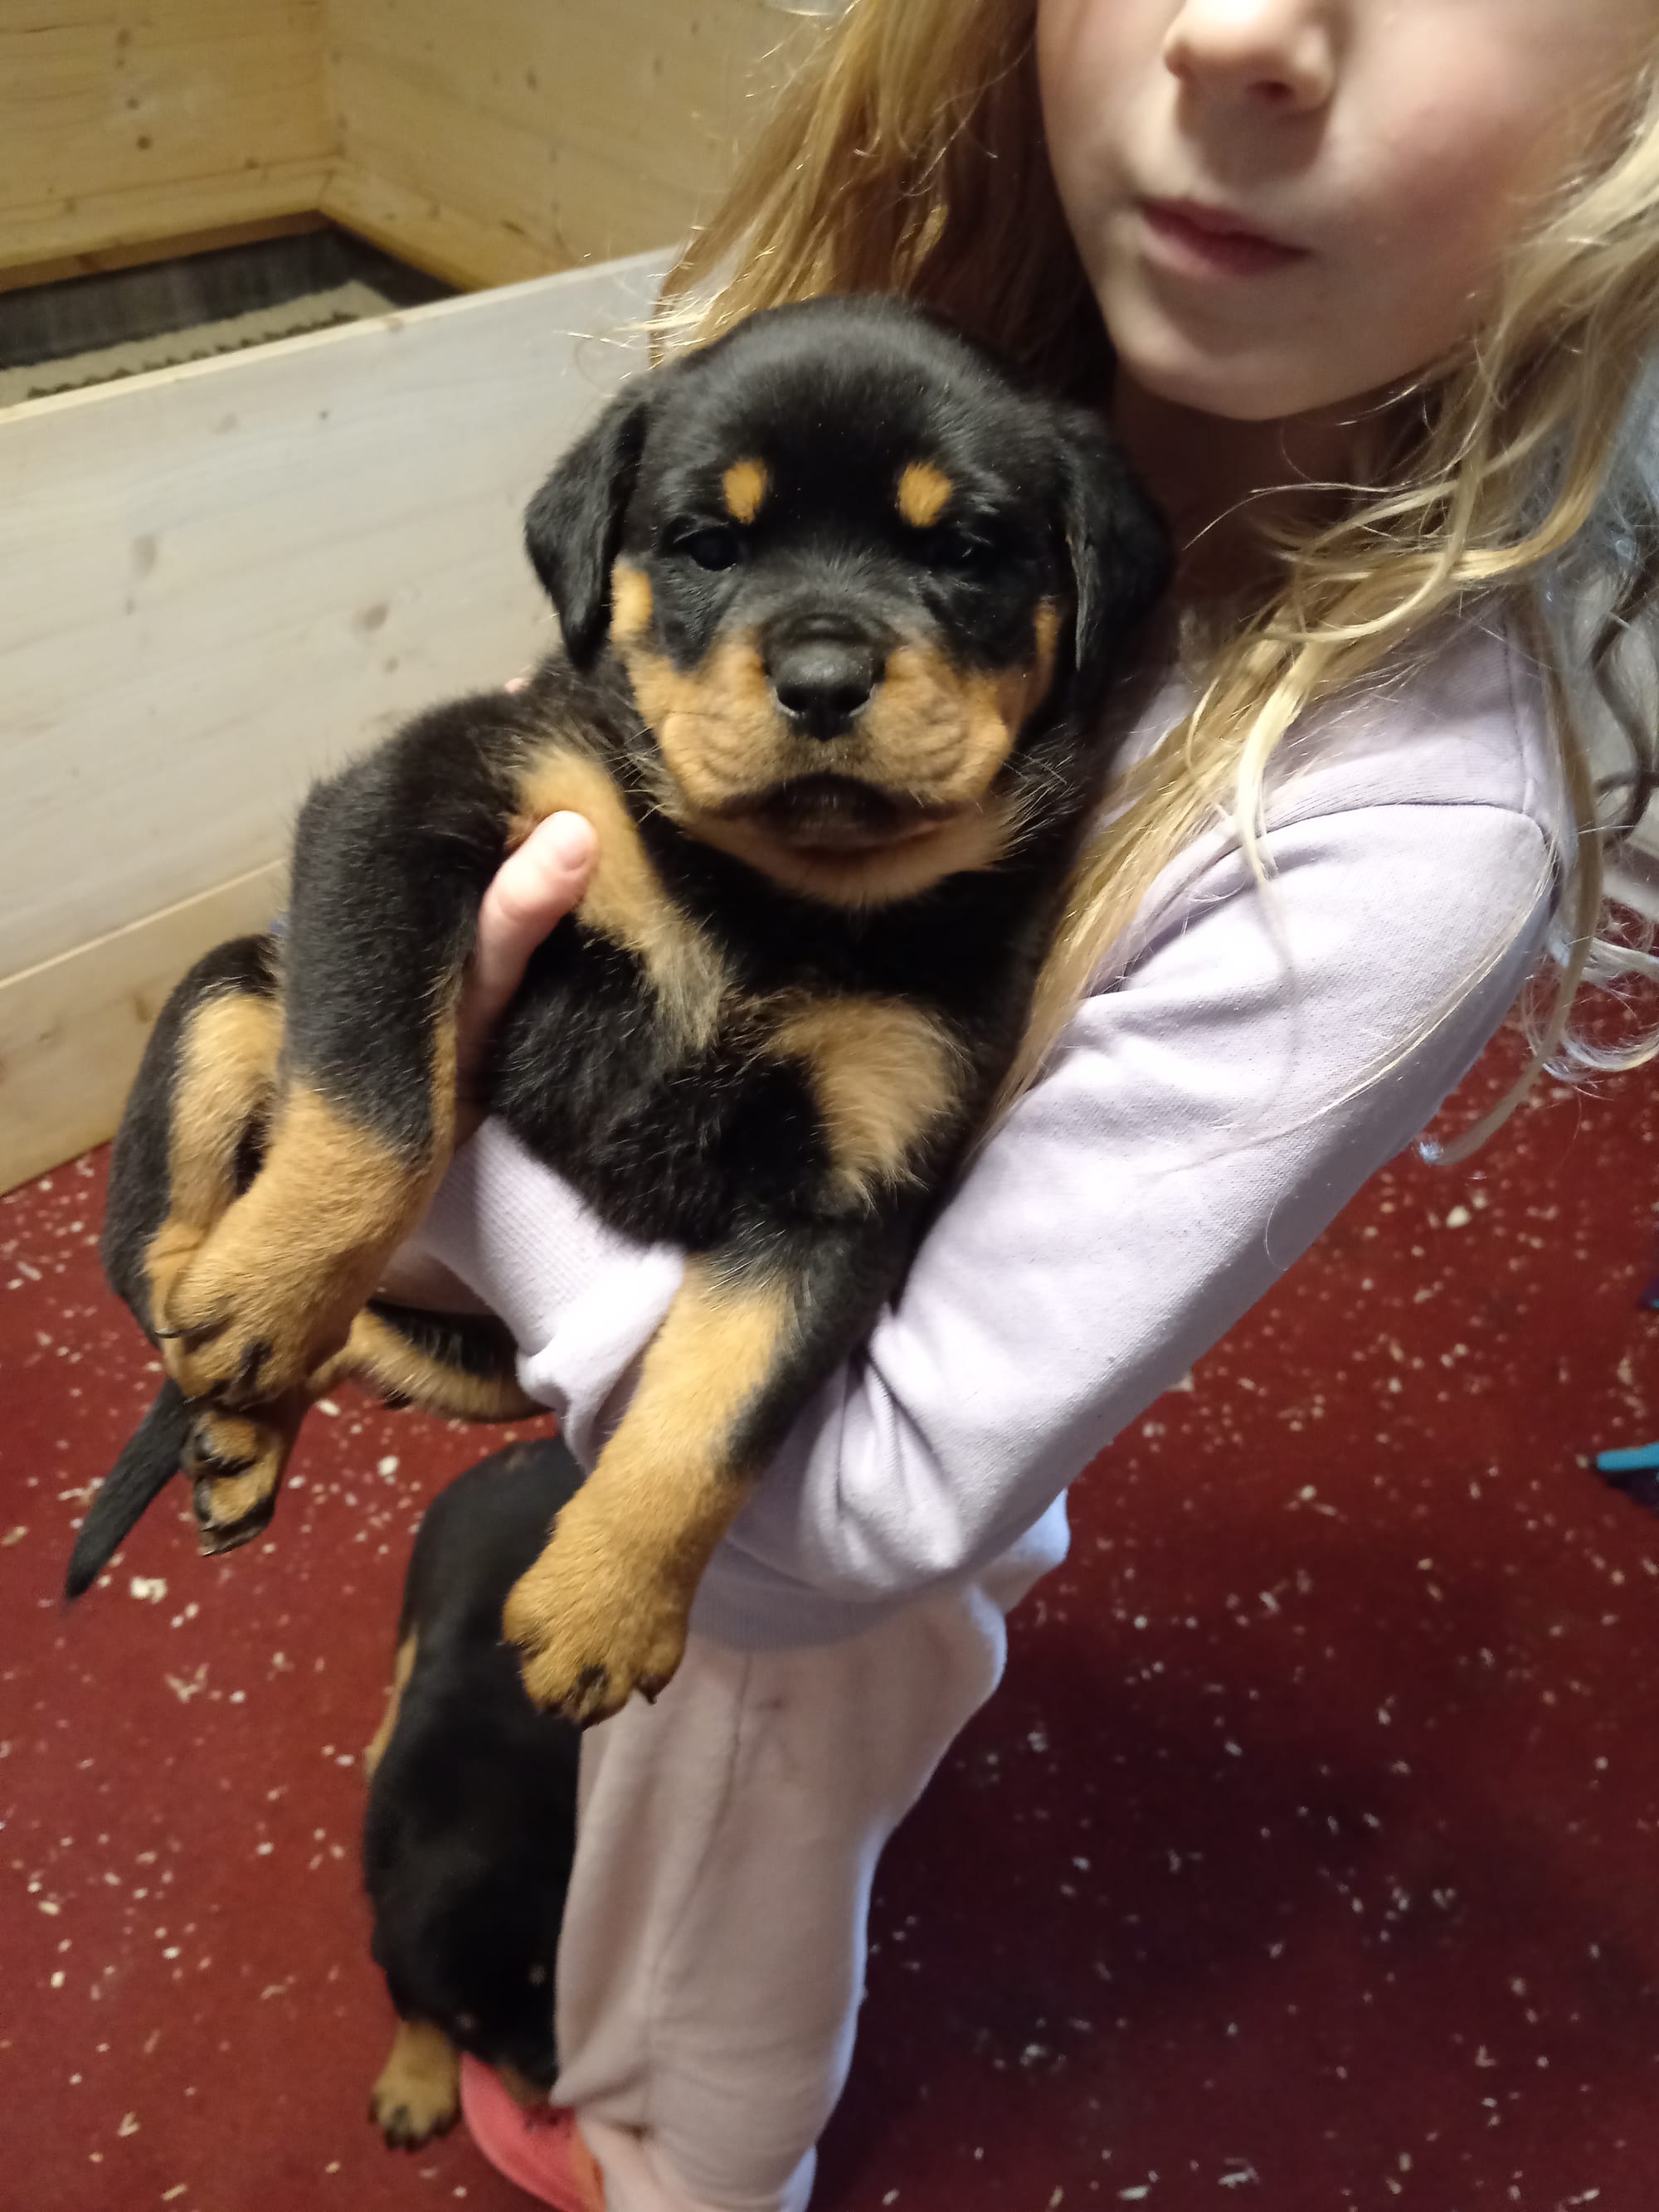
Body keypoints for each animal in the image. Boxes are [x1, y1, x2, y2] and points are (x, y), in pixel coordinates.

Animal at [66, 293, 1170, 1722]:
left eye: (970, 550)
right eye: (709, 544)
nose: (824, 676)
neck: (779, 898)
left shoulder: (852, 1181)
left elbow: (717, 1414)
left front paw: (606, 1605)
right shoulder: (416, 798)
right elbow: (379, 1108)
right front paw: (267, 1293)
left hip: (477, 1363)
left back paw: (251, 1425)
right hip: (237, 994)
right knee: (156, 1252)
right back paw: (227, 1355)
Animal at [362, 1440, 582, 2149]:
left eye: (553, 1977)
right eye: (469, 2026)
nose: (552, 2078)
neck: (466, 1821)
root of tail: (529, 1450)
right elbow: (409, 2003)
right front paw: (415, 2080)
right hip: (418, 1588)